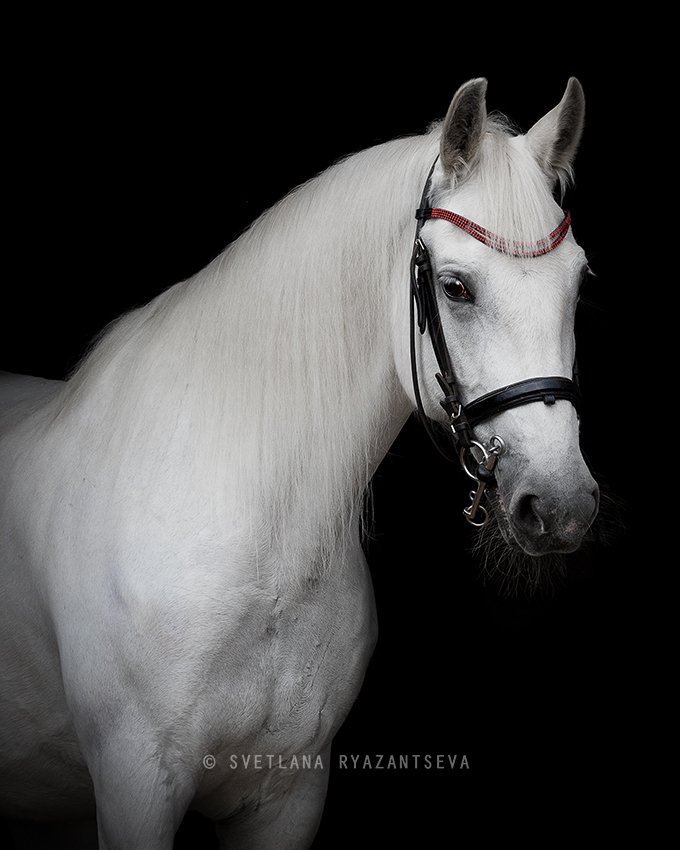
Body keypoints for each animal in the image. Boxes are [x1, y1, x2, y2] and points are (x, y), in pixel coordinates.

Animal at [0, 79, 596, 848]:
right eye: (456, 288)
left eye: (577, 283)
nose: (561, 505)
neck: (265, 555)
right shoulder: (135, 787)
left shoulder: (290, 794)